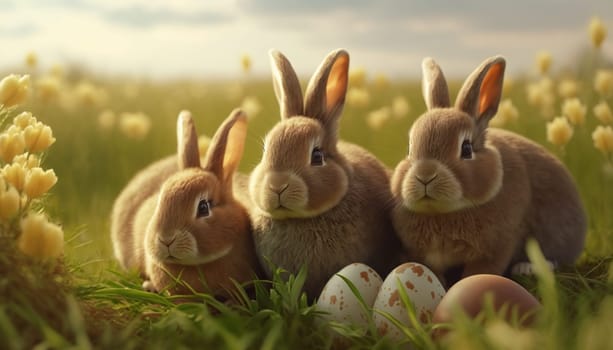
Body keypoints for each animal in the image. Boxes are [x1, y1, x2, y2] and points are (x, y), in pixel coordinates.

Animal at [390, 56, 584, 286]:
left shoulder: (497, 247)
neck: (442, 212)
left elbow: (480, 272)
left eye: (466, 149)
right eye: (409, 149)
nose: (425, 175)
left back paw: (527, 267)